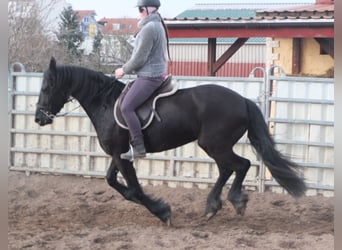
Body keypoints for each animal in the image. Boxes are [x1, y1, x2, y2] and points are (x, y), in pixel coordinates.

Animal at [34, 58, 306, 225]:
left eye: (47, 88)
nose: (38, 118)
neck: (105, 102)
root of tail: (243, 100)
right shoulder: (119, 154)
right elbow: (113, 182)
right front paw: (157, 207)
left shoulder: (121, 156)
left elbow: (133, 190)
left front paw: (162, 212)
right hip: (217, 146)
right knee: (228, 169)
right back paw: (214, 206)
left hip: (214, 145)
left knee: (241, 165)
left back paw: (232, 202)